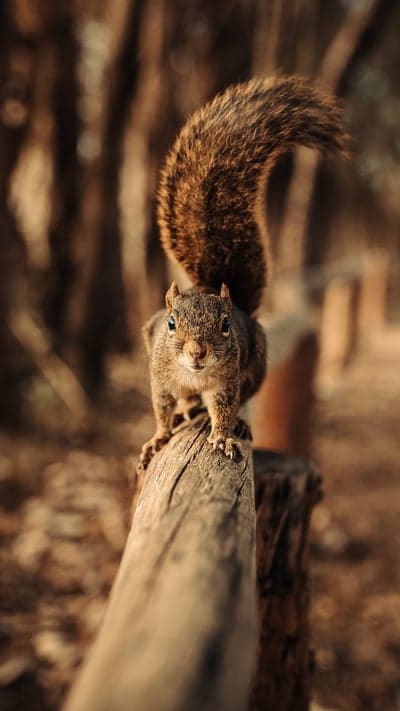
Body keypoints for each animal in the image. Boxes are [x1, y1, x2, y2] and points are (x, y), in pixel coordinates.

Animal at [139, 75, 350, 470]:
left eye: (224, 325)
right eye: (171, 324)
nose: (198, 352)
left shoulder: (226, 382)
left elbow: (222, 409)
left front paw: (222, 436)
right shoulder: (160, 378)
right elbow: (161, 409)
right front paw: (158, 437)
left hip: (257, 361)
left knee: (240, 398)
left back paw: (230, 420)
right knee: (184, 403)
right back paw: (185, 410)